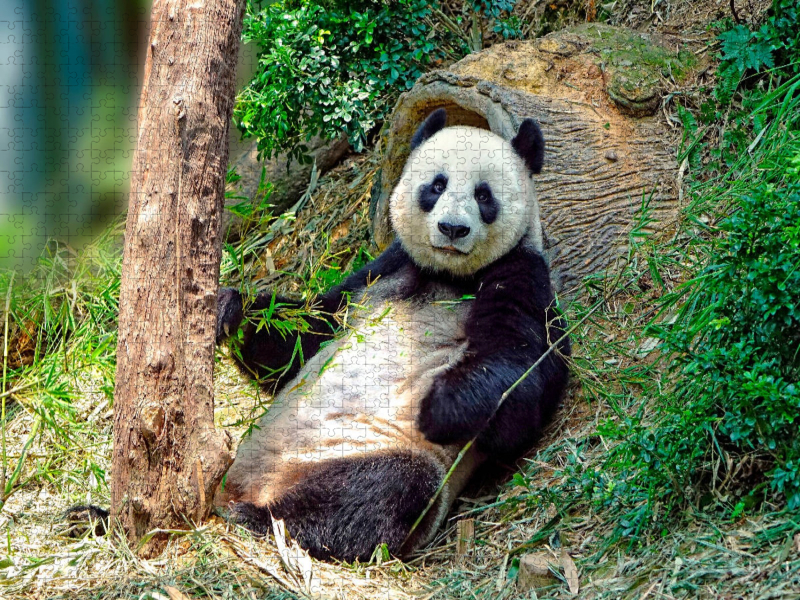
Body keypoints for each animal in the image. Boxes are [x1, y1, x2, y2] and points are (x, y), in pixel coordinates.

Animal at [214, 108, 571, 562]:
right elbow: (305, 335)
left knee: (382, 490)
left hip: (368, 451)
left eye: (484, 195)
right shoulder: (382, 270)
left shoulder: (521, 274)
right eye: (436, 185)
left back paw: (264, 519)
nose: (452, 229)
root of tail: (257, 485)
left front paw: (441, 407)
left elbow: (522, 379)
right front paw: (230, 309)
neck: (447, 275)